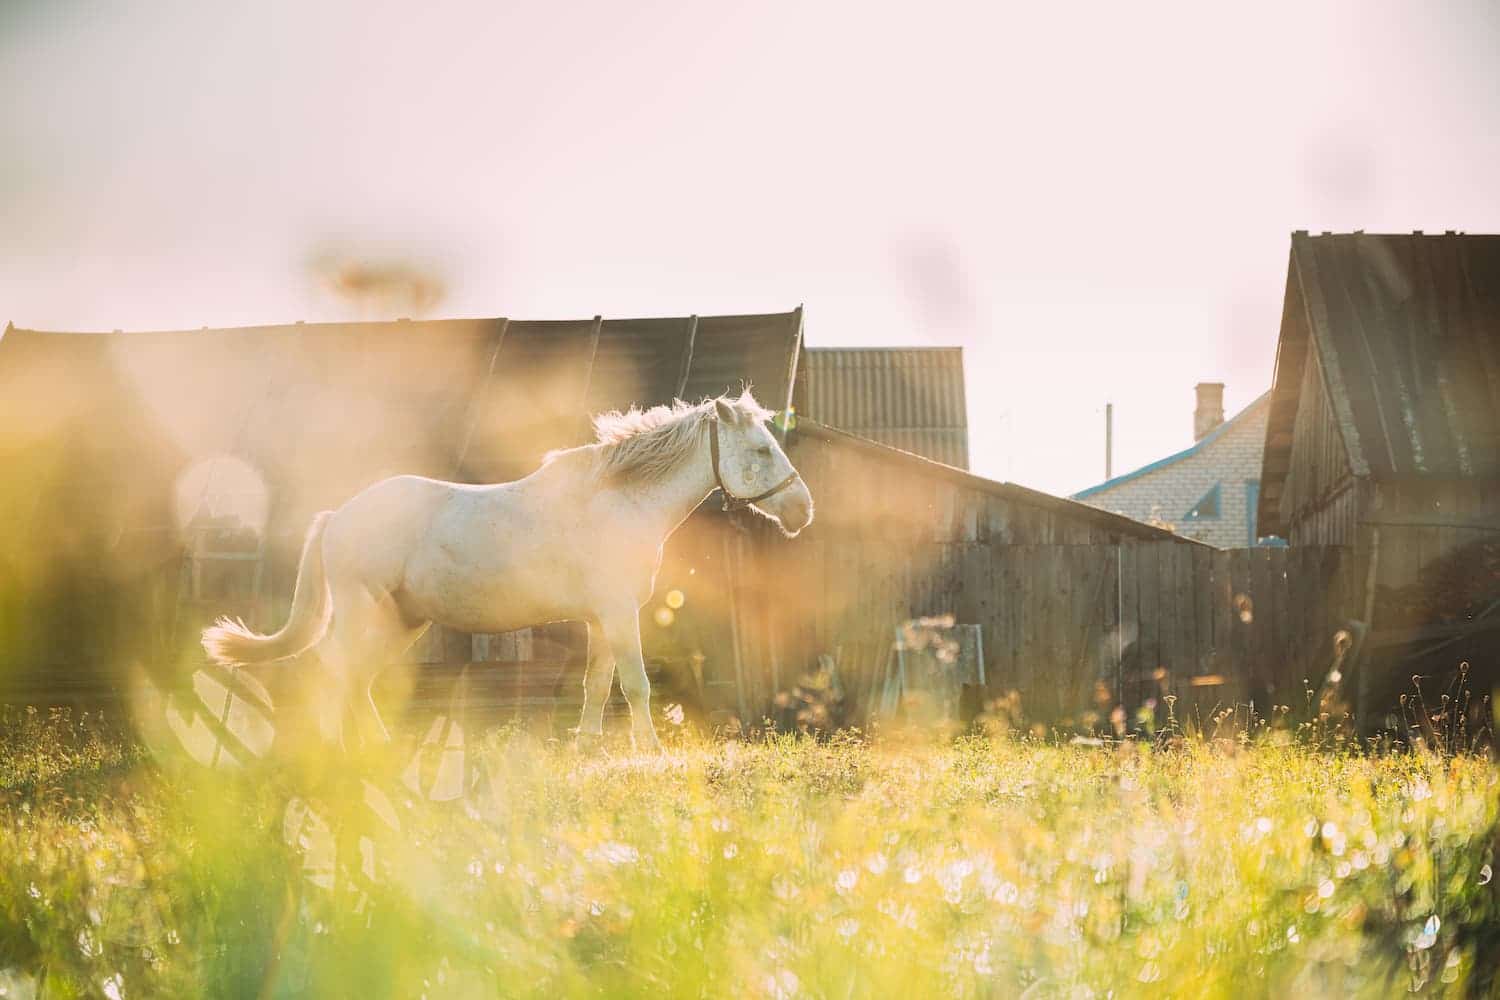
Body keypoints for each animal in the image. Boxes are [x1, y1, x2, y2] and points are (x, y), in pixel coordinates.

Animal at [201, 390, 814, 753]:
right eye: (761, 449)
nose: (803, 511)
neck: (617, 501)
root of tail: (338, 517)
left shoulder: (601, 618)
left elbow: (597, 685)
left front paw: (586, 746)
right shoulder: (619, 613)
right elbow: (636, 684)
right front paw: (652, 750)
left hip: (402, 623)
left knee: (358, 678)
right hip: (361, 614)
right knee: (334, 671)